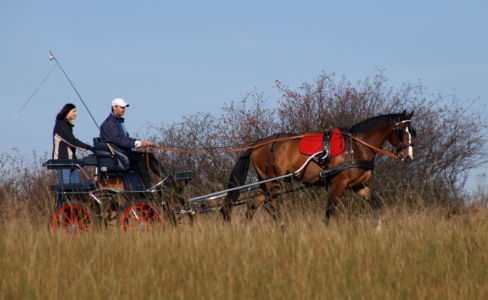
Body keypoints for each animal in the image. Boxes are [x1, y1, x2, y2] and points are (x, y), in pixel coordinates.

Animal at [221, 111, 416, 229]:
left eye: (412, 131)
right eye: (401, 131)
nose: (408, 156)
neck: (355, 147)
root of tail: (259, 144)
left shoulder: (358, 185)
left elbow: (375, 204)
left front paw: (378, 230)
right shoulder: (338, 183)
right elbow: (330, 209)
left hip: (266, 183)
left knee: (253, 205)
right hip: (274, 181)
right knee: (269, 205)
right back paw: (284, 229)